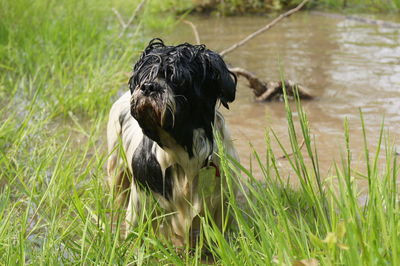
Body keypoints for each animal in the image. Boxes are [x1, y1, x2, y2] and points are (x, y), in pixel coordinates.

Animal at [107, 38, 238, 246]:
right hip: (117, 170)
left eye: (177, 78)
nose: (148, 87)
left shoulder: (221, 205)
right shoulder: (142, 203)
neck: (184, 149)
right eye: (143, 76)